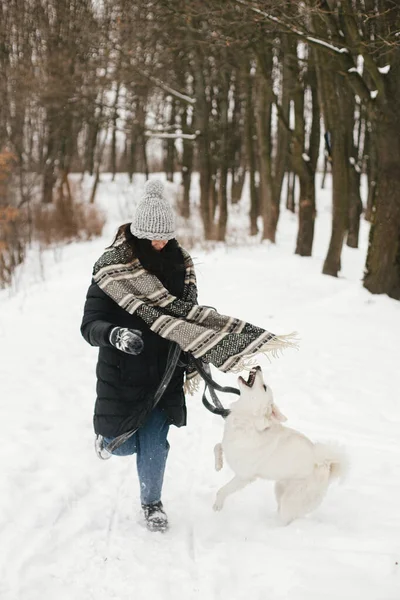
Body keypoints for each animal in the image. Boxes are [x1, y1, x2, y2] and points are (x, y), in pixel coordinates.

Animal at [212, 364, 346, 524]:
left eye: (264, 387)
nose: (258, 366)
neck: (249, 421)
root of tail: (326, 467)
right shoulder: (228, 445)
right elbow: (217, 446)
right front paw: (218, 464)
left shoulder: (244, 476)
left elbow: (222, 490)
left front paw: (217, 506)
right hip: (280, 488)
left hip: (290, 500)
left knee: (286, 519)